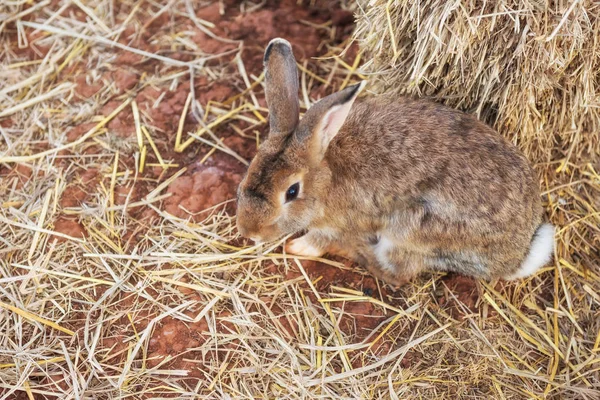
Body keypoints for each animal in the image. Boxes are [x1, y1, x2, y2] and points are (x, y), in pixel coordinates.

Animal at [234, 37, 552, 286]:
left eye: (291, 192)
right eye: (247, 175)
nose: (248, 231)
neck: (326, 177)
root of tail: (514, 257)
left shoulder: (341, 224)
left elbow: (319, 240)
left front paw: (297, 247)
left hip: (412, 229)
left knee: (399, 273)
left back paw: (356, 252)